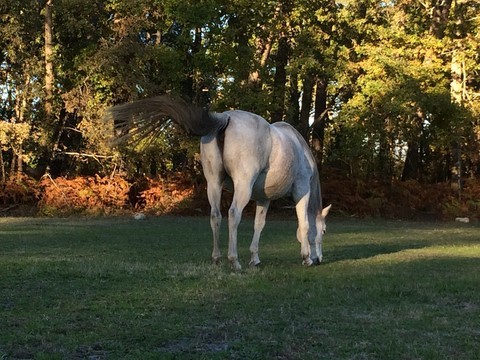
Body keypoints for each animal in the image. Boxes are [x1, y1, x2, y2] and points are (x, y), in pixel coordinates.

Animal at [109, 95, 330, 270]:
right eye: (325, 230)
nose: (319, 259)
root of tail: (225, 119)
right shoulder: (301, 191)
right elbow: (304, 223)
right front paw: (306, 258)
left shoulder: (263, 199)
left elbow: (259, 225)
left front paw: (255, 258)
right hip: (243, 186)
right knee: (233, 214)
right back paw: (234, 261)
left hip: (214, 183)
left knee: (215, 215)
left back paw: (217, 259)